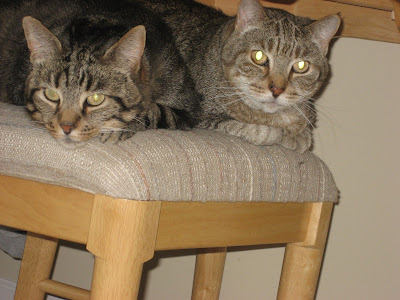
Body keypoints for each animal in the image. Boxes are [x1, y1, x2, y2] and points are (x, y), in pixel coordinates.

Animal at [138, 0, 340, 152]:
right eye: (258, 57)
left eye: (301, 66)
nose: (277, 89)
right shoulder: (197, 118)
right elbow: (261, 132)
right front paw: (284, 135)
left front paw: (298, 133)